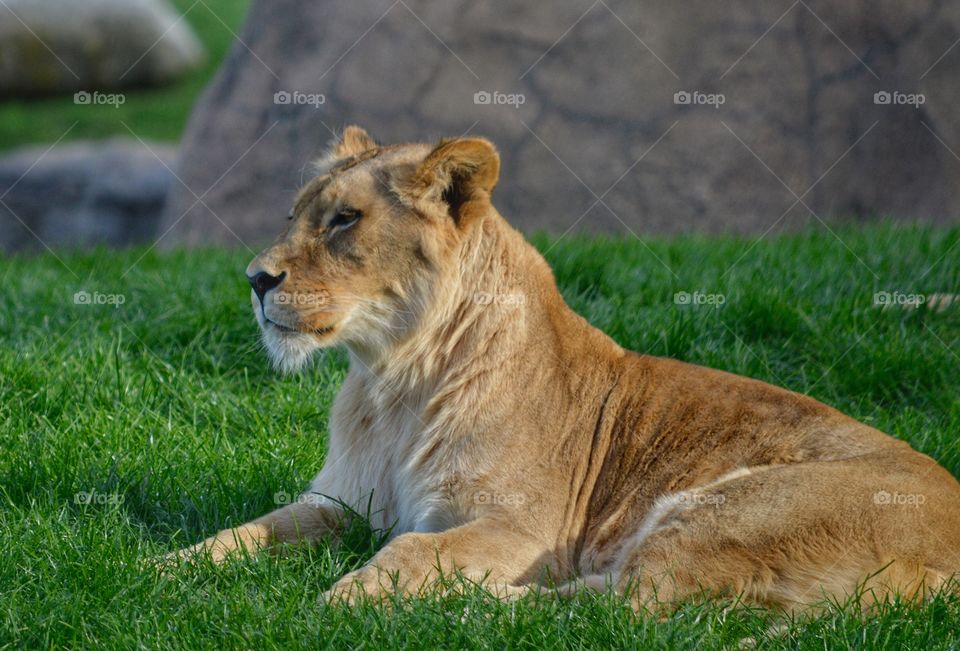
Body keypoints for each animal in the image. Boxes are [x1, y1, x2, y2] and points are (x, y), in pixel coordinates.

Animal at [167, 126, 960, 612]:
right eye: (298, 214)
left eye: (344, 220)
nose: (255, 278)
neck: (396, 381)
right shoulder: (343, 503)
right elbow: (245, 532)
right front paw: (159, 571)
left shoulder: (520, 526)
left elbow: (413, 549)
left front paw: (343, 599)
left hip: (726, 509)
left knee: (618, 608)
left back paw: (456, 607)